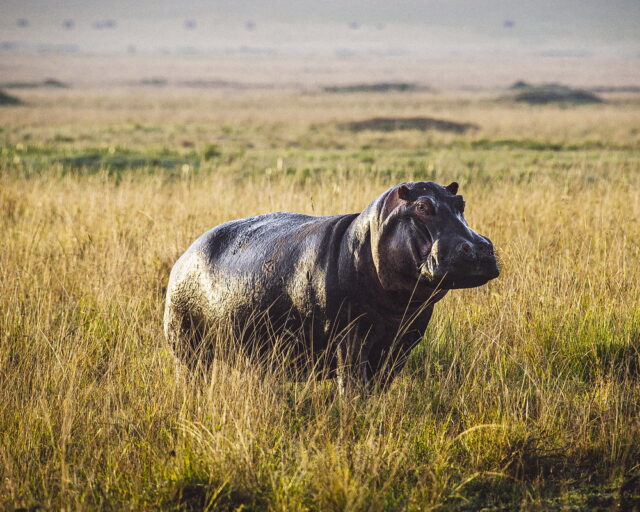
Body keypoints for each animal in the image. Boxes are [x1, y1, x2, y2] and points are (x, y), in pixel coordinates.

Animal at [162, 183, 498, 388]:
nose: (477, 247)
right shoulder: (348, 338)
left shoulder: (403, 340)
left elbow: (381, 384)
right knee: (192, 373)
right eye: (423, 207)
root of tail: (185, 255)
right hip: (186, 345)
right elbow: (352, 385)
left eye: (461, 201)